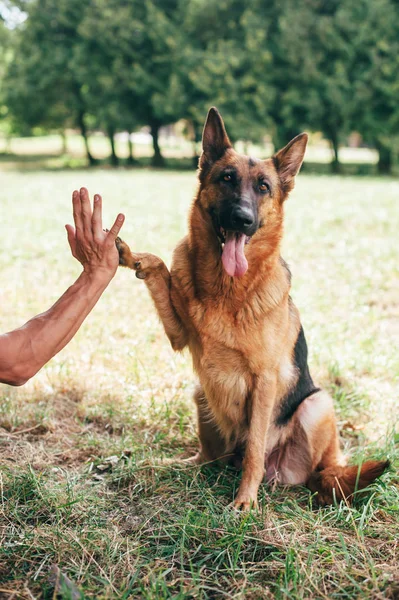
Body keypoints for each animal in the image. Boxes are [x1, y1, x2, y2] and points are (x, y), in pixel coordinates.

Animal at [117, 109, 390, 510]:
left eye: (263, 187)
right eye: (227, 178)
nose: (242, 219)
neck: (227, 290)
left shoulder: (264, 381)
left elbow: (256, 450)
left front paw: (246, 501)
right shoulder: (179, 336)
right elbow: (159, 267)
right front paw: (132, 256)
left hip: (317, 405)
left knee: (306, 473)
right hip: (200, 394)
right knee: (207, 459)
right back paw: (169, 465)